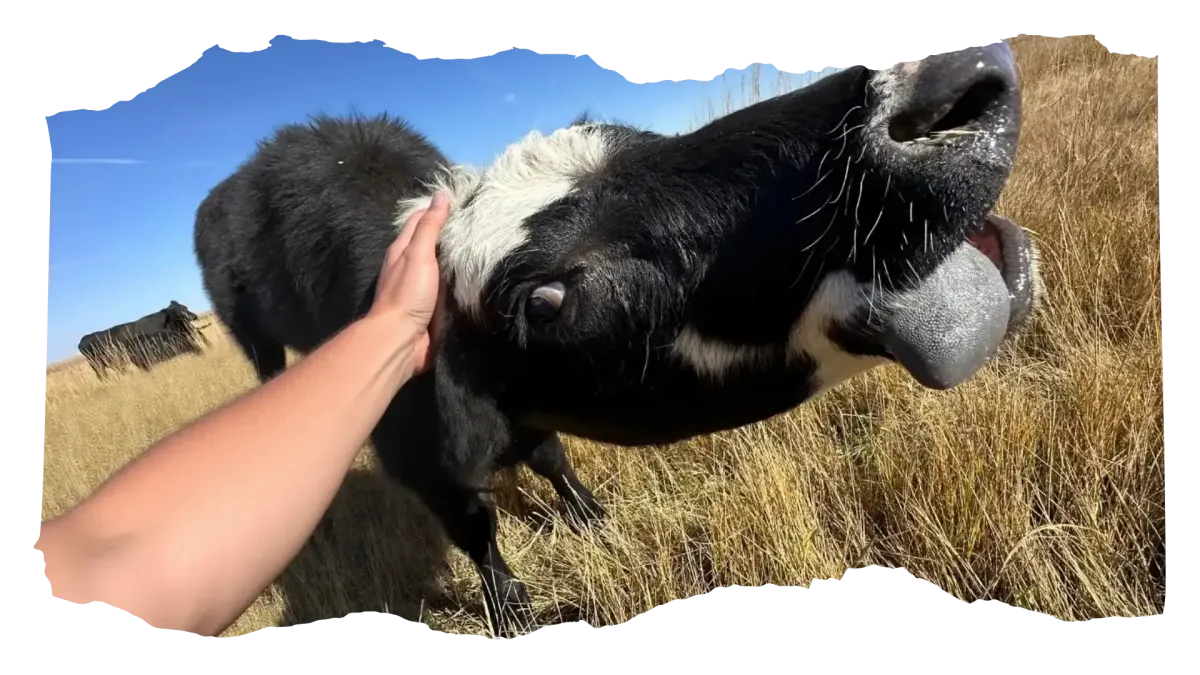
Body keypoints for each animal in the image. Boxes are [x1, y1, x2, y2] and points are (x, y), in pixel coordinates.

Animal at [193, 43, 1042, 637]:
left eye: (644, 143)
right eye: (546, 300)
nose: (939, 83)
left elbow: (550, 455)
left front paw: (590, 516)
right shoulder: (415, 450)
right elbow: (476, 525)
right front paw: (511, 608)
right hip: (255, 337)